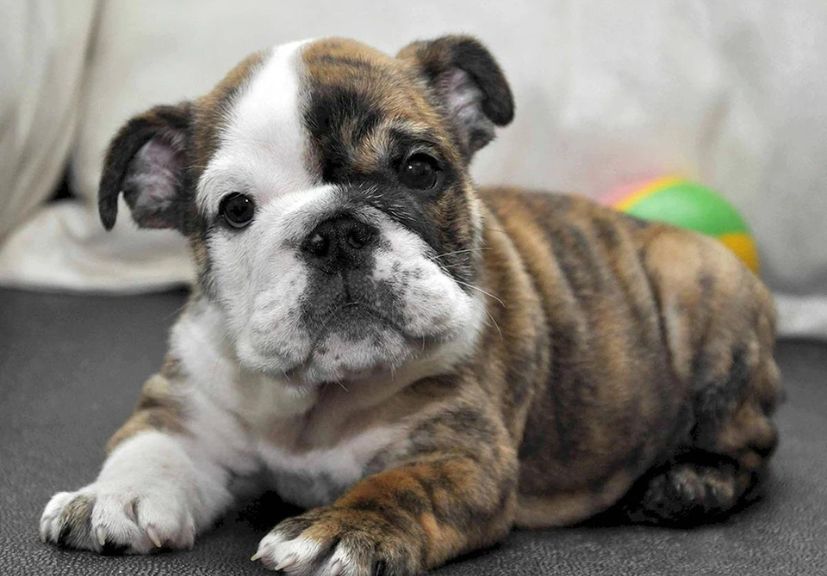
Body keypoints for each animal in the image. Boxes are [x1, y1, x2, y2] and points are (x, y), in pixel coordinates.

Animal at [40, 37, 784, 576]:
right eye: (236, 209)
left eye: (419, 169)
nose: (336, 231)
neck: (320, 403)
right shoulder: (189, 407)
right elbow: (150, 446)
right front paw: (111, 496)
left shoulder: (461, 456)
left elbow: (400, 486)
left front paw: (341, 528)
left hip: (701, 299)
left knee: (752, 449)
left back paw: (684, 485)